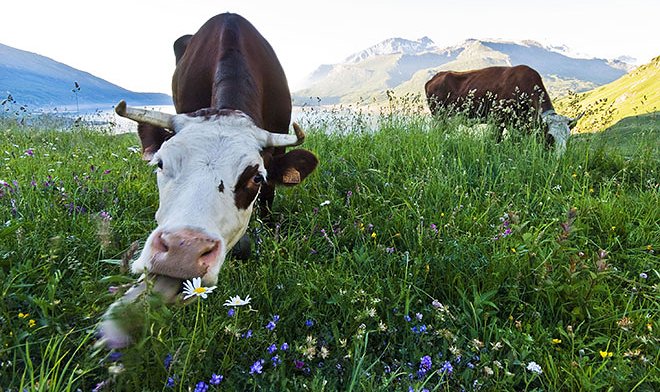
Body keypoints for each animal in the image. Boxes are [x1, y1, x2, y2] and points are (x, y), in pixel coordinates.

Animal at [426, 65, 580, 152]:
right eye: (549, 137)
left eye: (567, 137)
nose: (559, 158)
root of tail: (435, 77)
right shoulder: (498, 119)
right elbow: (496, 139)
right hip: (439, 117)